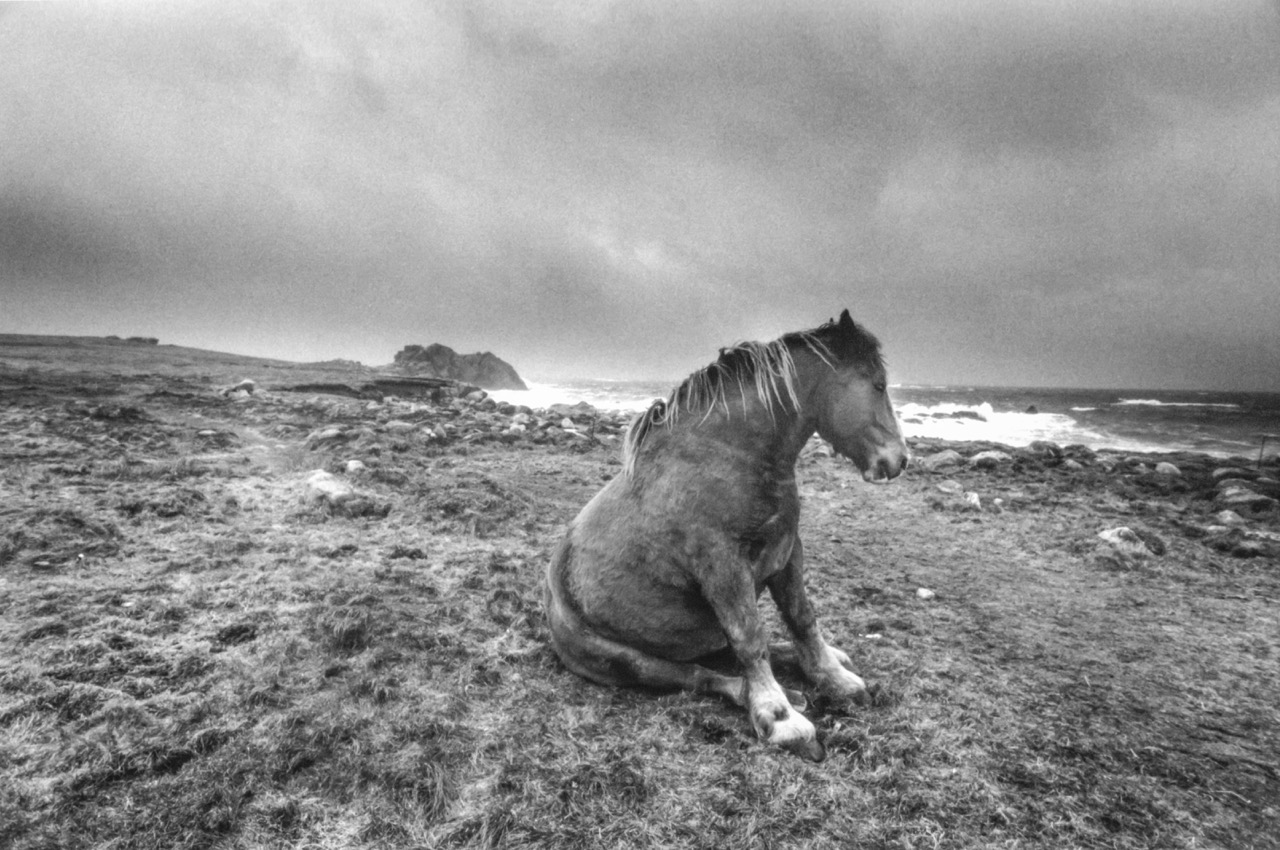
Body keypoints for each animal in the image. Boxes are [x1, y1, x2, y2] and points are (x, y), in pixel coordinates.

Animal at [543, 310, 909, 761]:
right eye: (877, 384)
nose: (899, 459)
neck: (730, 456)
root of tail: (554, 604)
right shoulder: (723, 567)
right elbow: (750, 639)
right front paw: (780, 718)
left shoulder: (787, 551)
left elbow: (800, 617)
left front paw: (832, 676)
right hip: (628, 662)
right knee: (703, 675)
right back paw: (773, 698)